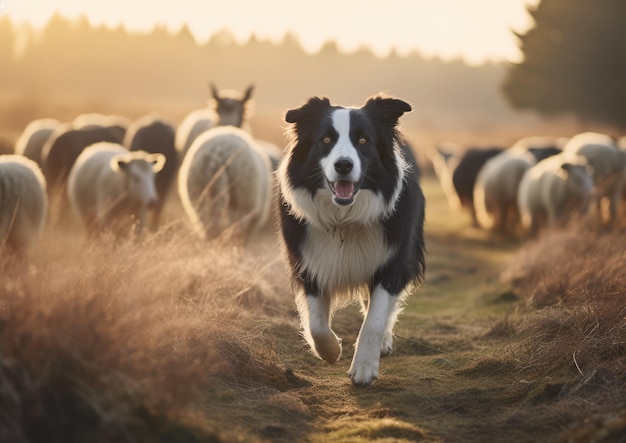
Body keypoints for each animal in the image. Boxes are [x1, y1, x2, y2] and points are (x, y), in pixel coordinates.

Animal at [276, 95, 424, 386]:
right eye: (326, 139)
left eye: (363, 140)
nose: (343, 165)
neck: (344, 218)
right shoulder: (307, 262)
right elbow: (316, 324)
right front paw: (331, 350)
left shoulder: (393, 262)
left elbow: (375, 318)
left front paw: (364, 367)